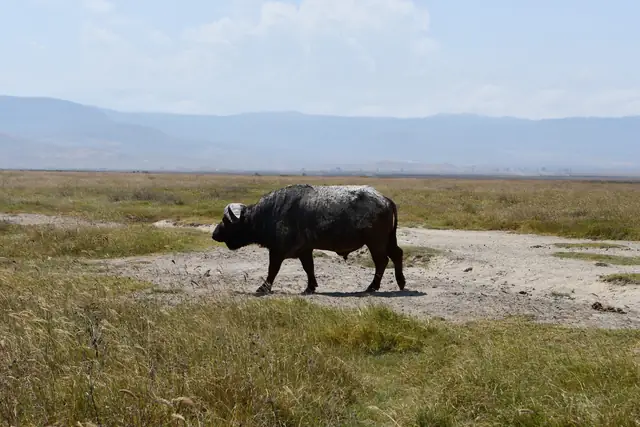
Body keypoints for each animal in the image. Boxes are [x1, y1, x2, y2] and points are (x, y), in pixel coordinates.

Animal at [211, 184, 405, 294]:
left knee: (382, 261)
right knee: (397, 254)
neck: (269, 213)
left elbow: (272, 270)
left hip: (375, 243)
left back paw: (372, 286)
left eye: (225, 221)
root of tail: (385, 199)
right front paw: (310, 287)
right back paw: (401, 282)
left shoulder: (277, 251)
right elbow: (309, 268)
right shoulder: (305, 250)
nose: (214, 234)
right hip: (388, 240)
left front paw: (263, 288)